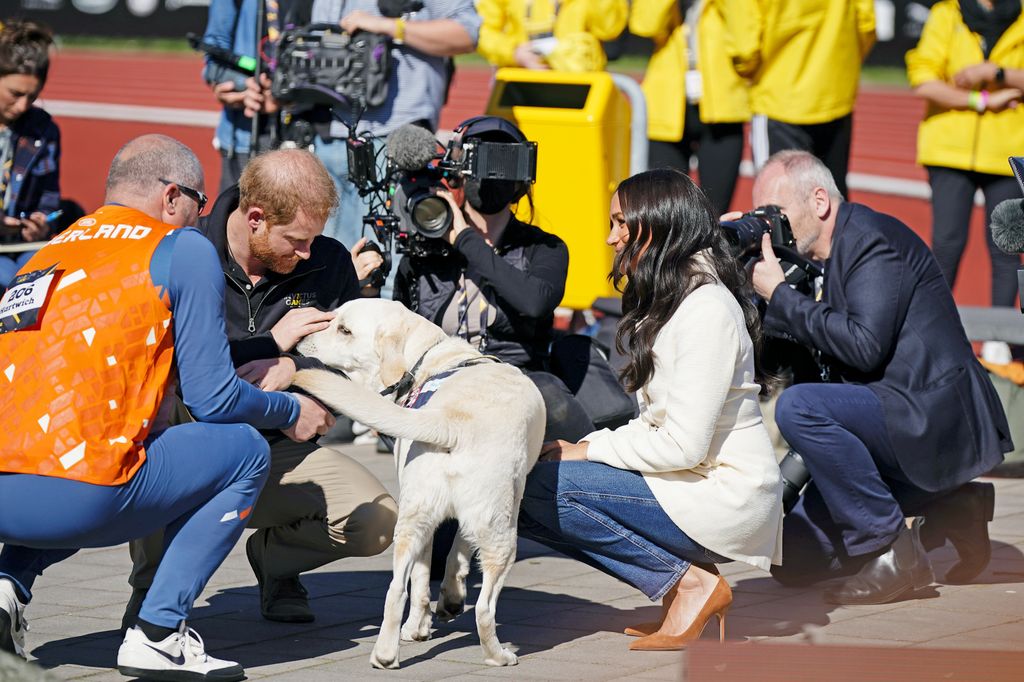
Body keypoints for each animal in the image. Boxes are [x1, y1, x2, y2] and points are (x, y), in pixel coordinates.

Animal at [292, 299, 548, 667]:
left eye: (343, 329)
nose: (299, 340)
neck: (428, 358)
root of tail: (451, 422)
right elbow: (458, 550)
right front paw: (450, 600)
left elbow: (427, 573)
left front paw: (423, 623)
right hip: (501, 534)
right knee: (484, 608)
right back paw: (498, 655)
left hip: (413, 520)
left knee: (398, 588)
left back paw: (387, 653)